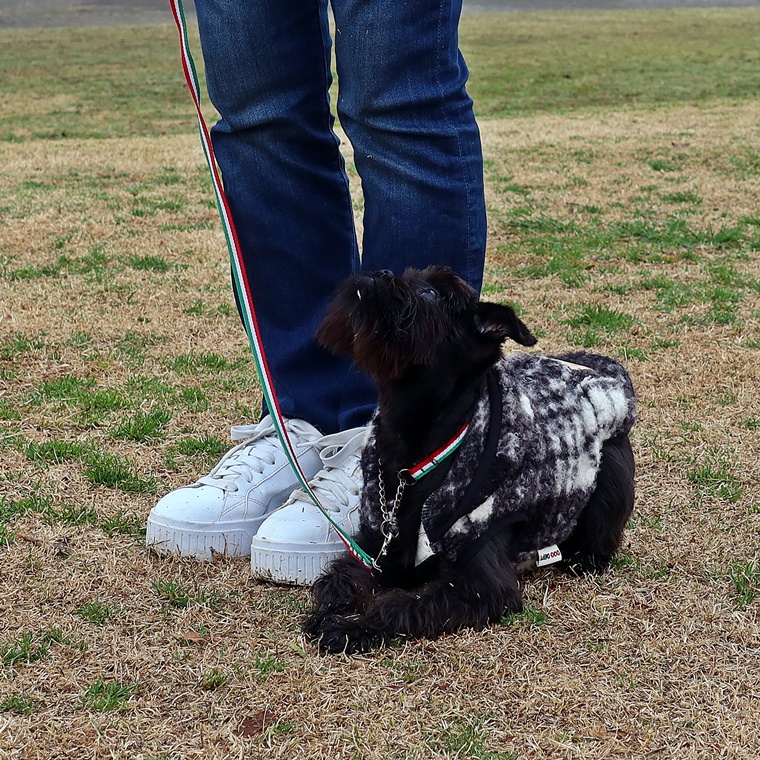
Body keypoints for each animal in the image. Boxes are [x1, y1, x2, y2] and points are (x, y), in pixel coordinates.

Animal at [303, 266, 636, 654]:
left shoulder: (480, 583)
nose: (382, 272)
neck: (412, 452)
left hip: (609, 475)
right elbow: (343, 576)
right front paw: (332, 610)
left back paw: (584, 557)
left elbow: (398, 605)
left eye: (430, 294)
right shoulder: (378, 546)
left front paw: (352, 628)